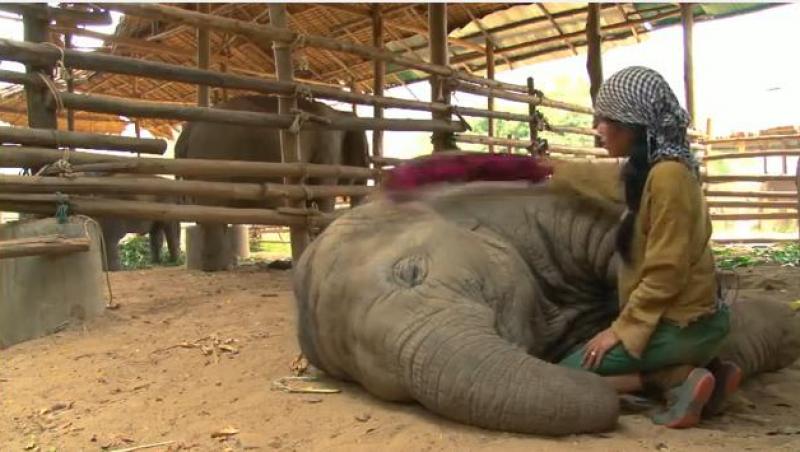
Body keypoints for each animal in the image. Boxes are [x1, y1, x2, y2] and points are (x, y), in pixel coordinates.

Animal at [174, 94, 370, 271]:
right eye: (366, 156)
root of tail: (186, 132)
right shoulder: (327, 151)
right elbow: (323, 196)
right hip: (212, 161)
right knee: (213, 211)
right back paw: (219, 267)